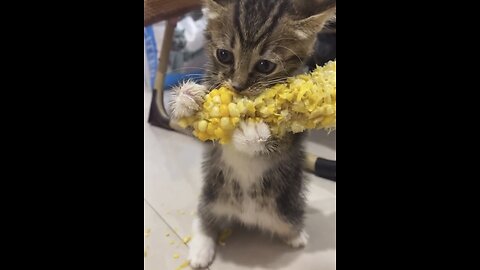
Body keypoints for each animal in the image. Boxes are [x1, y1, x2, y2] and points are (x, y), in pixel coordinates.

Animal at [171, 0, 336, 268]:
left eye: (265, 65)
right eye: (224, 55)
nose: (237, 87)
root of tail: (246, 217)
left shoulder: (295, 135)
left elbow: (280, 141)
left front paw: (253, 132)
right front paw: (188, 98)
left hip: (285, 211)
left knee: (289, 225)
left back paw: (297, 237)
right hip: (213, 196)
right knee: (205, 218)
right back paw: (200, 249)